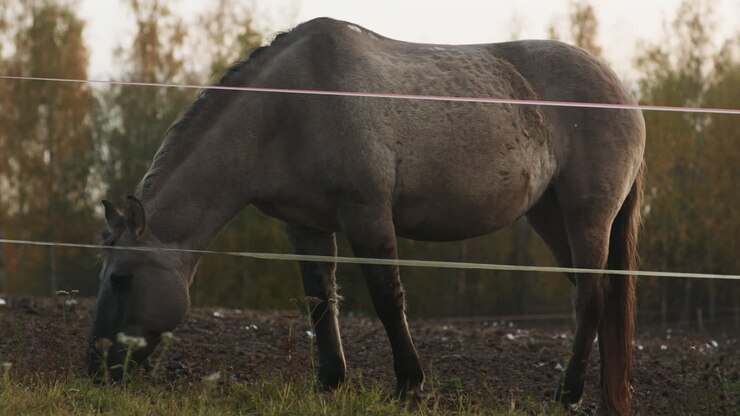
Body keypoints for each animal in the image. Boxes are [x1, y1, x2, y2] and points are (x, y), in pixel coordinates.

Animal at [86, 17, 644, 415]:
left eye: (121, 279)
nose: (94, 368)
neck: (290, 107)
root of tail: (624, 93)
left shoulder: (368, 216)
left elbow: (386, 298)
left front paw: (409, 385)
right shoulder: (305, 225)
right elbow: (320, 300)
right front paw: (329, 381)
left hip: (585, 215)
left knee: (592, 298)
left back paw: (567, 393)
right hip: (550, 217)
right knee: (591, 296)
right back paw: (597, 393)